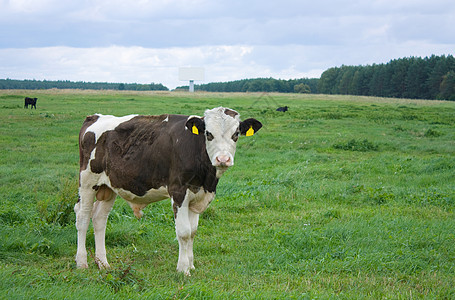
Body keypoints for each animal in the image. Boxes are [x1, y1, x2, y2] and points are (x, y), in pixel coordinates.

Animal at [75, 106, 264, 276]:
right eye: (208, 134)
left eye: (236, 134)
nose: (223, 159)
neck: (206, 179)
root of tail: (95, 116)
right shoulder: (179, 192)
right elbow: (184, 232)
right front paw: (183, 269)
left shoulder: (196, 195)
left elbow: (193, 231)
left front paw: (191, 265)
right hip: (87, 181)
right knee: (83, 217)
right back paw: (82, 263)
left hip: (108, 187)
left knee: (99, 219)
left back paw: (103, 263)